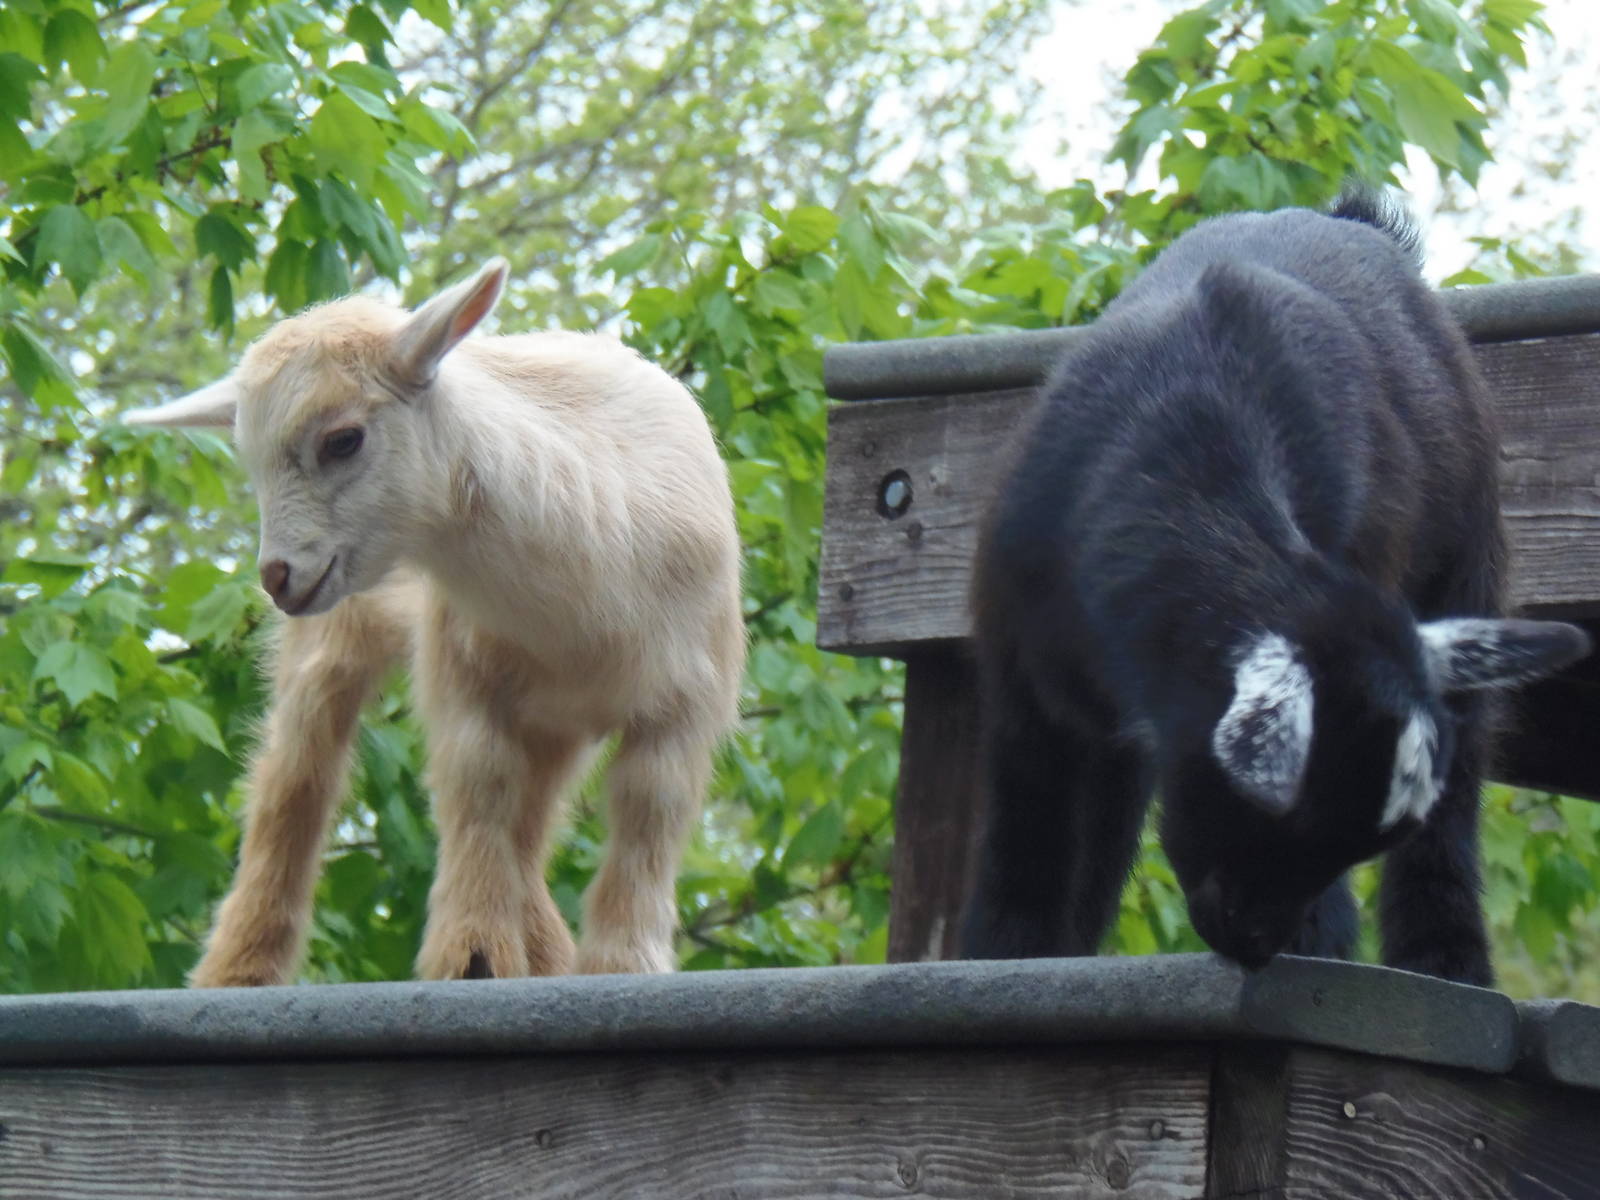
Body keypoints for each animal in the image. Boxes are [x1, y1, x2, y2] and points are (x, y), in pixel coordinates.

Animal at [124, 259, 745, 986]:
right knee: (297, 776)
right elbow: (479, 780)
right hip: (342, 634)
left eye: (343, 440)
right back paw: (240, 972)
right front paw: (474, 952)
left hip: (558, 720)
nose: (276, 576)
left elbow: (652, 808)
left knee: (531, 824)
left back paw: (548, 953)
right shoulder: (463, 668)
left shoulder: (688, 700)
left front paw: (622, 965)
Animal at [957, 193, 1590, 985]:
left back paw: (1445, 964)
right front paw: (1008, 953)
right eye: (1286, 816)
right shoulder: (1020, 669)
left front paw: (1321, 943)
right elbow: (1032, 827)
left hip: (1468, 567)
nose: (1258, 941)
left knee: (1458, 792)